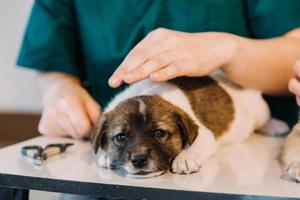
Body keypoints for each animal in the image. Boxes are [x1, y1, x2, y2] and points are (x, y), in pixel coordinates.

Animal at [90, 76, 282, 178]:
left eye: (159, 133)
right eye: (121, 137)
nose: (139, 160)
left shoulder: (204, 134)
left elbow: (194, 144)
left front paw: (185, 158)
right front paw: (105, 154)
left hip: (260, 110)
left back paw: (276, 125)